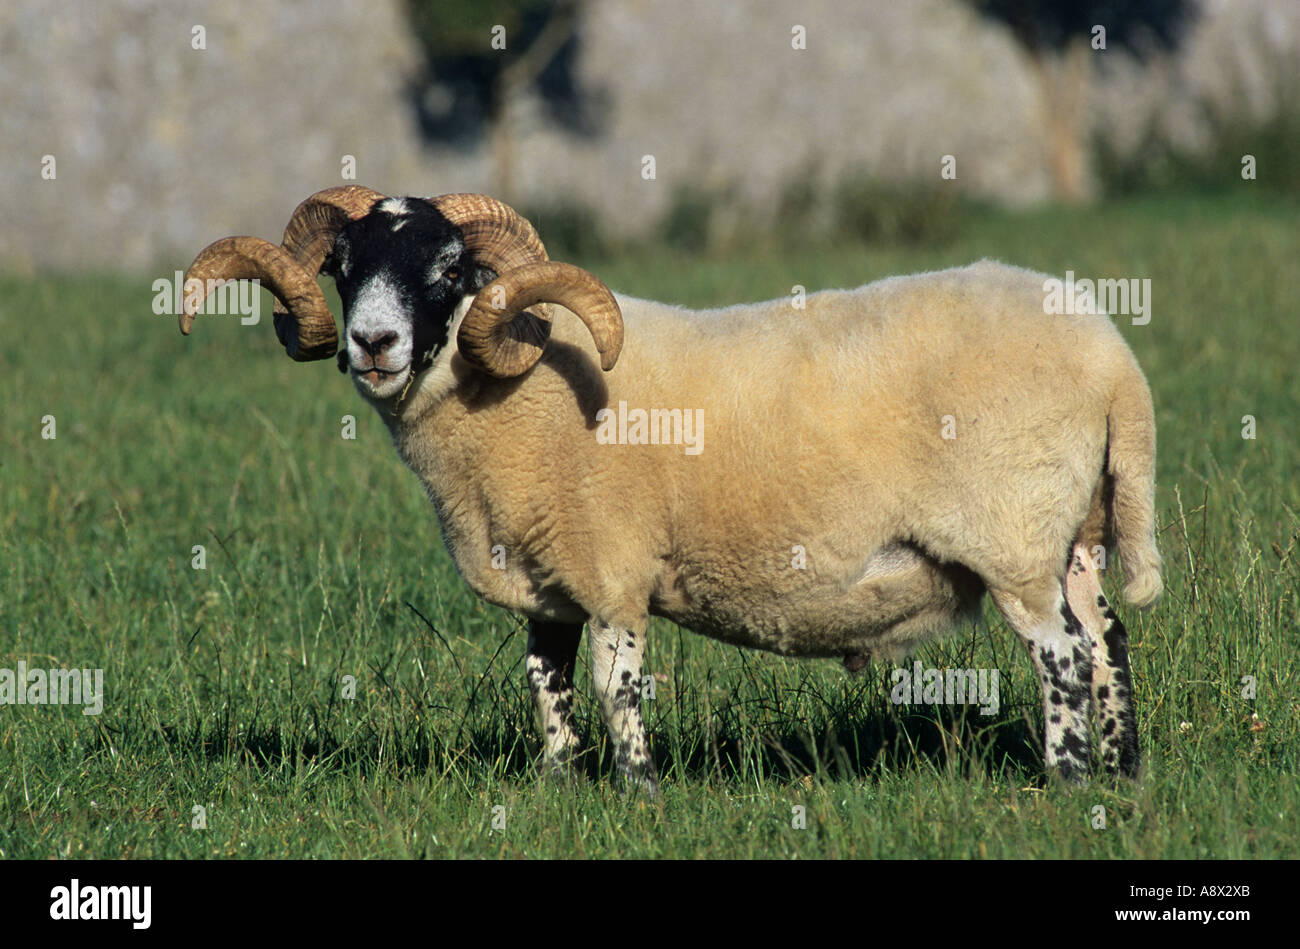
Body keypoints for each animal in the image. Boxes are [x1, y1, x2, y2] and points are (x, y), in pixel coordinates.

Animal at [179, 185, 1161, 793]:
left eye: (451, 269)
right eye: (343, 264)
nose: (373, 344)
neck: (512, 396)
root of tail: (1113, 360)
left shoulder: (612, 568)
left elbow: (617, 687)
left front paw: (640, 791)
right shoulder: (549, 581)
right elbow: (547, 685)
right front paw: (559, 784)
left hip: (1013, 534)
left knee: (1061, 653)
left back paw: (1067, 779)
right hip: (1073, 531)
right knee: (1106, 639)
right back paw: (1123, 774)